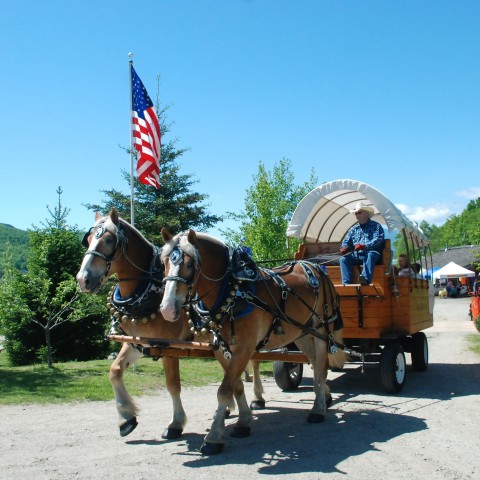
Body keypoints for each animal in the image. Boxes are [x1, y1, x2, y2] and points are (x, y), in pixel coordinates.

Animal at [161, 228, 344, 454]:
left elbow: (224, 390)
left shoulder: (244, 348)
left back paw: (318, 410)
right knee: (315, 364)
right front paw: (244, 422)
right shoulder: (221, 350)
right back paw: (324, 397)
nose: (167, 309)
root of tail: (315, 266)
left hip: (321, 329)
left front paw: (213, 437)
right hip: (302, 333)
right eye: (164, 262)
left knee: (321, 367)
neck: (232, 290)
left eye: (189, 264)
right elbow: (236, 386)